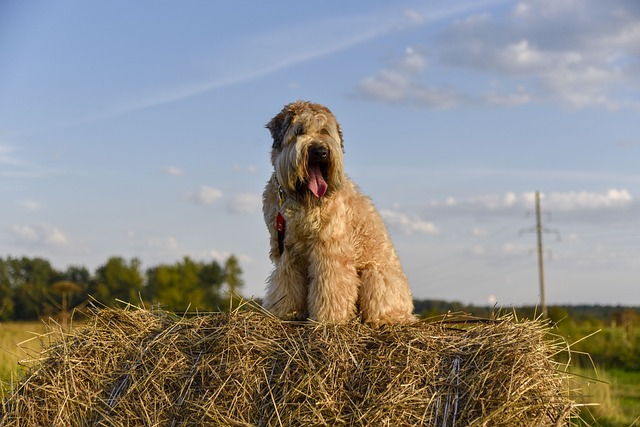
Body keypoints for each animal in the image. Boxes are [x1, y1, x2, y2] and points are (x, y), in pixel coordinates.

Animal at [262, 101, 416, 328]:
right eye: (299, 131)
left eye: (325, 131)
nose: (320, 151)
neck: (300, 200)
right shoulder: (285, 249)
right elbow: (285, 282)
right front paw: (284, 312)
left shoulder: (329, 247)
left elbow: (330, 283)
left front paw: (328, 318)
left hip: (375, 275)